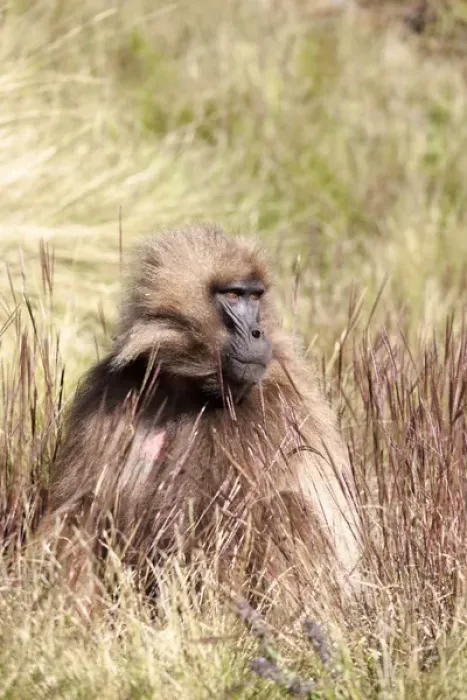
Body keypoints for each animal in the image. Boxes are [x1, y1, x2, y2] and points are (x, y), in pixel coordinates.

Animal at [41, 224, 361, 612]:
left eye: (256, 297)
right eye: (234, 295)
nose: (257, 334)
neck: (188, 385)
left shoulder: (272, 407)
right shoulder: (112, 389)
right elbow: (77, 503)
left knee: (282, 507)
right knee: (77, 514)